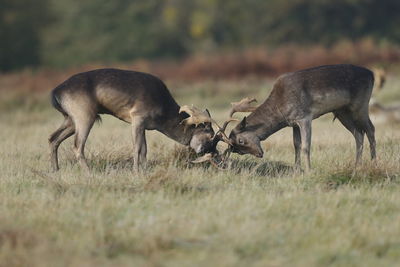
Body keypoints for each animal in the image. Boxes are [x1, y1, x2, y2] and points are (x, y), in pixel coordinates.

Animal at [49, 69, 222, 173]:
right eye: (209, 134)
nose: (213, 153)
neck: (162, 114)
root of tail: (55, 93)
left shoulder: (144, 125)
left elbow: (145, 149)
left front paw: (145, 170)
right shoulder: (137, 116)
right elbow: (137, 148)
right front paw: (136, 172)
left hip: (70, 118)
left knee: (53, 138)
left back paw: (55, 170)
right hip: (84, 114)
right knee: (77, 146)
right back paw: (89, 173)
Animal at [205, 66, 376, 173]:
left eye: (241, 141)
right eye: (237, 151)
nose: (260, 154)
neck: (281, 108)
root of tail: (372, 75)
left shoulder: (304, 117)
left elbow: (306, 146)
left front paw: (309, 170)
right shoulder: (293, 123)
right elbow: (296, 145)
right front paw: (297, 170)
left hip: (360, 105)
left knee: (370, 129)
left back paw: (374, 162)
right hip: (342, 112)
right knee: (358, 134)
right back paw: (357, 166)